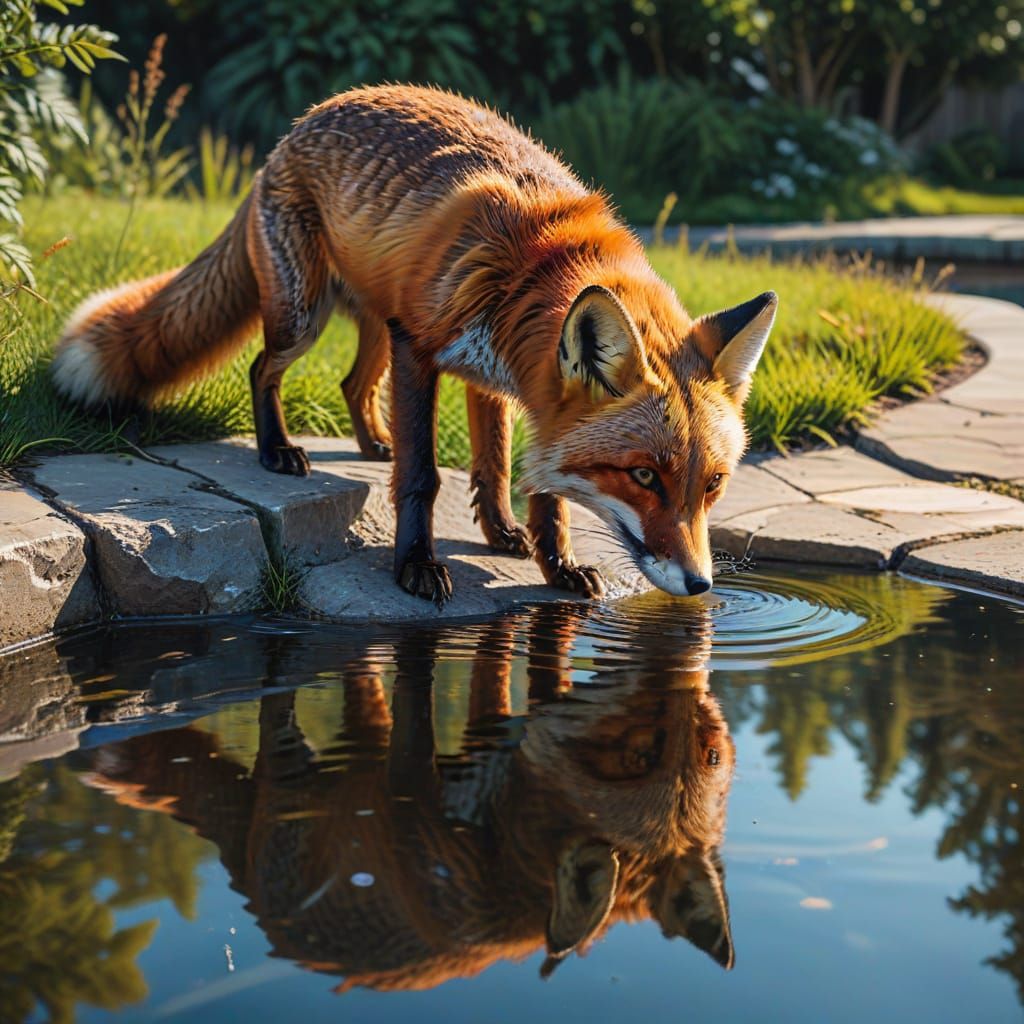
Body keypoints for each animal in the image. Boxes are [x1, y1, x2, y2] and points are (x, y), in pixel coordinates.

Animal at [52, 84, 777, 606]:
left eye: (713, 484)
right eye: (644, 476)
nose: (702, 586)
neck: (535, 270)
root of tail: (295, 128)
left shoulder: (504, 380)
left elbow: (508, 471)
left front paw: (542, 554)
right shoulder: (423, 349)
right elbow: (424, 477)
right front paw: (417, 564)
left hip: (374, 327)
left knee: (352, 384)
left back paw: (375, 443)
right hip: (307, 317)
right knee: (261, 367)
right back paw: (278, 450)